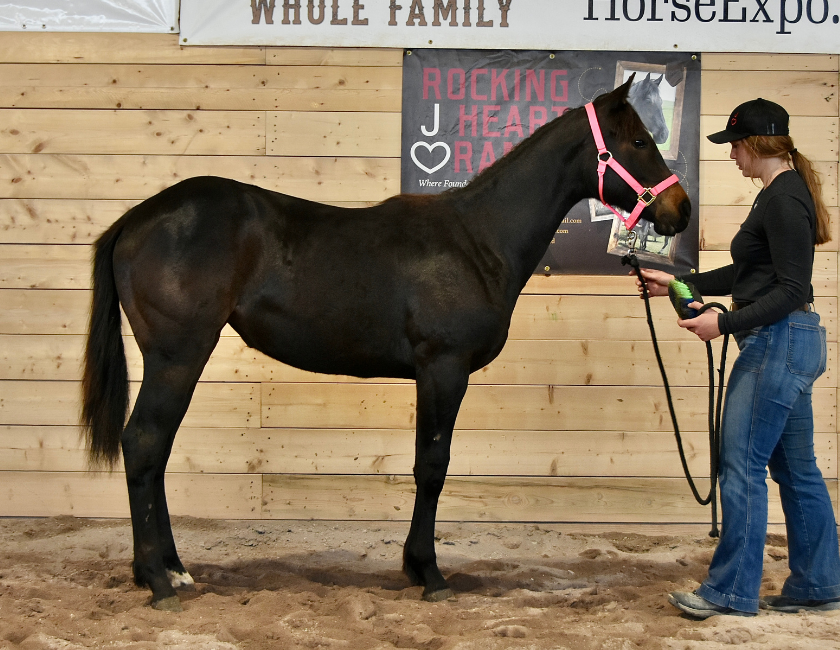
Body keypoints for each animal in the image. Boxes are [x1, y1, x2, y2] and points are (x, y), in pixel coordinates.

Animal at [81, 77, 690, 611]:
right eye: (640, 141)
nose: (680, 209)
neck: (477, 239)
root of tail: (136, 219)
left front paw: (417, 567)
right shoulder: (444, 368)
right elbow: (432, 465)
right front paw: (428, 572)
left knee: (155, 451)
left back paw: (174, 570)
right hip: (177, 357)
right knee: (143, 443)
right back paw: (158, 580)